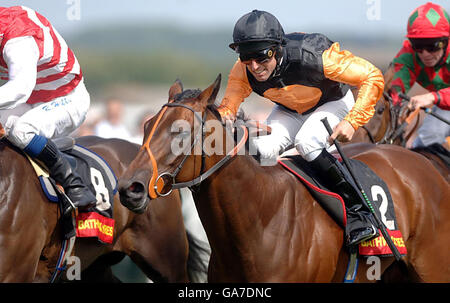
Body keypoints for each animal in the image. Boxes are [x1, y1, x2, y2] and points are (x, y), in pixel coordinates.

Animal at [118, 76, 448, 282]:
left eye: (180, 133)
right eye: (146, 126)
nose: (129, 189)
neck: (260, 218)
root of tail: (424, 164)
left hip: (432, 267)